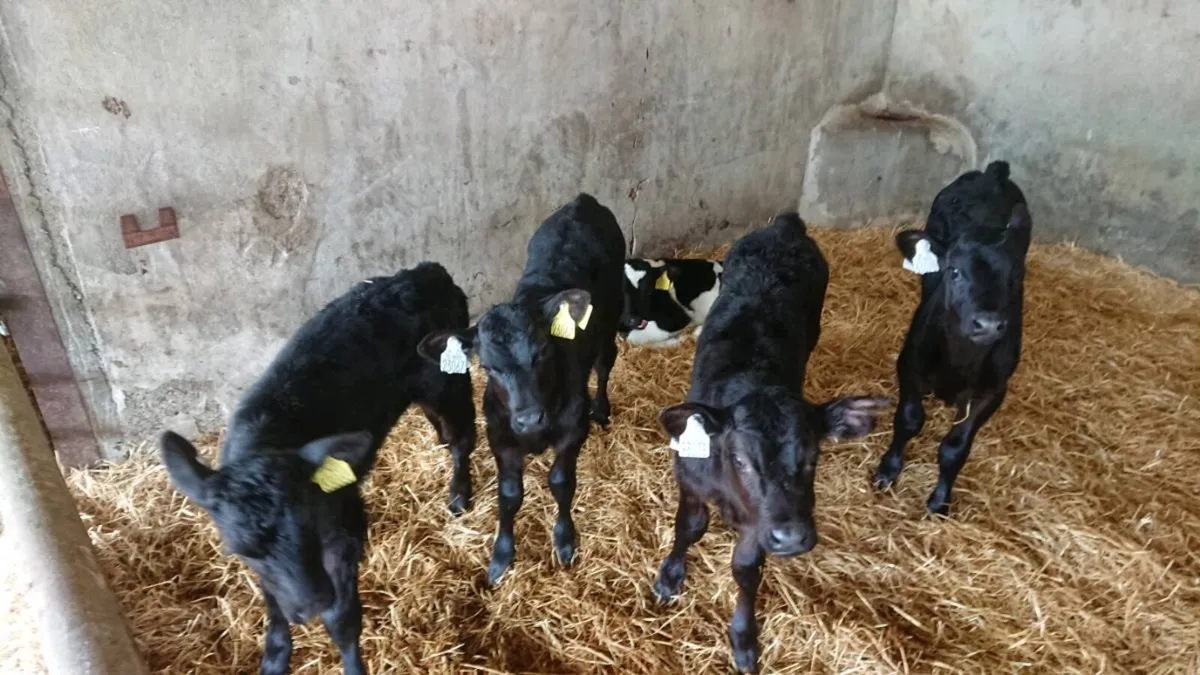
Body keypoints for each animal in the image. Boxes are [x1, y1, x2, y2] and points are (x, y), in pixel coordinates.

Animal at [159, 262, 476, 675]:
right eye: (242, 551)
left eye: (310, 527)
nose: (309, 606)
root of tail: (423, 272)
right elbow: (274, 604)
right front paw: (275, 657)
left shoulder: (345, 531)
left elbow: (342, 618)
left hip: (446, 380)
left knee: (462, 437)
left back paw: (459, 494)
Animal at [419, 193, 626, 587]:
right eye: (487, 366)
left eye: (543, 351)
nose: (530, 419)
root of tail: (582, 201)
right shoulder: (501, 439)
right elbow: (509, 495)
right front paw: (501, 556)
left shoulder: (572, 432)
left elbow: (561, 482)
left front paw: (564, 539)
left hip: (609, 319)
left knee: (605, 362)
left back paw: (602, 407)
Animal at [654, 213, 889, 673]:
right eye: (740, 459)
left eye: (814, 455)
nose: (791, 537)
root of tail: (785, 227)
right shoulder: (690, 481)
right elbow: (688, 528)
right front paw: (670, 575)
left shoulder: (758, 526)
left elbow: (746, 570)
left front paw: (744, 638)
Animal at [873, 160, 1032, 516]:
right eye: (955, 272)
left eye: (1015, 277)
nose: (988, 324)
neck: (960, 361)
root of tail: (993, 174)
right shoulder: (910, 365)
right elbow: (908, 419)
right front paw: (888, 470)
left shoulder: (993, 391)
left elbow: (955, 446)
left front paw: (939, 499)